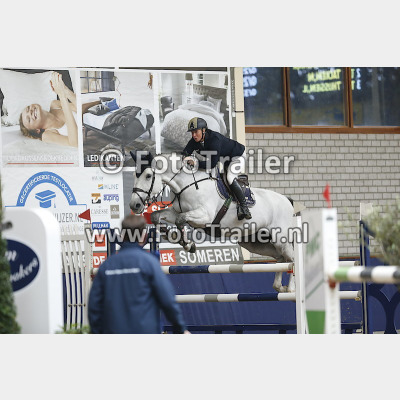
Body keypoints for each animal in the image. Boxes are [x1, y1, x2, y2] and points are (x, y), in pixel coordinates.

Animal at [129, 151, 296, 293]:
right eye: (134, 176)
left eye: (148, 176)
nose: (134, 205)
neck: (186, 184)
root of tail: (287, 200)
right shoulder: (176, 211)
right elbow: (156, 216)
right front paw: (172, 236)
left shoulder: (204, 216)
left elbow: (180, 220)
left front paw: (188, 244)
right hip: (255, 242)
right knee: (281, 258)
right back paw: (279, 287)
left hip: (281, 238)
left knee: (292, 259)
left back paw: (290, 289)